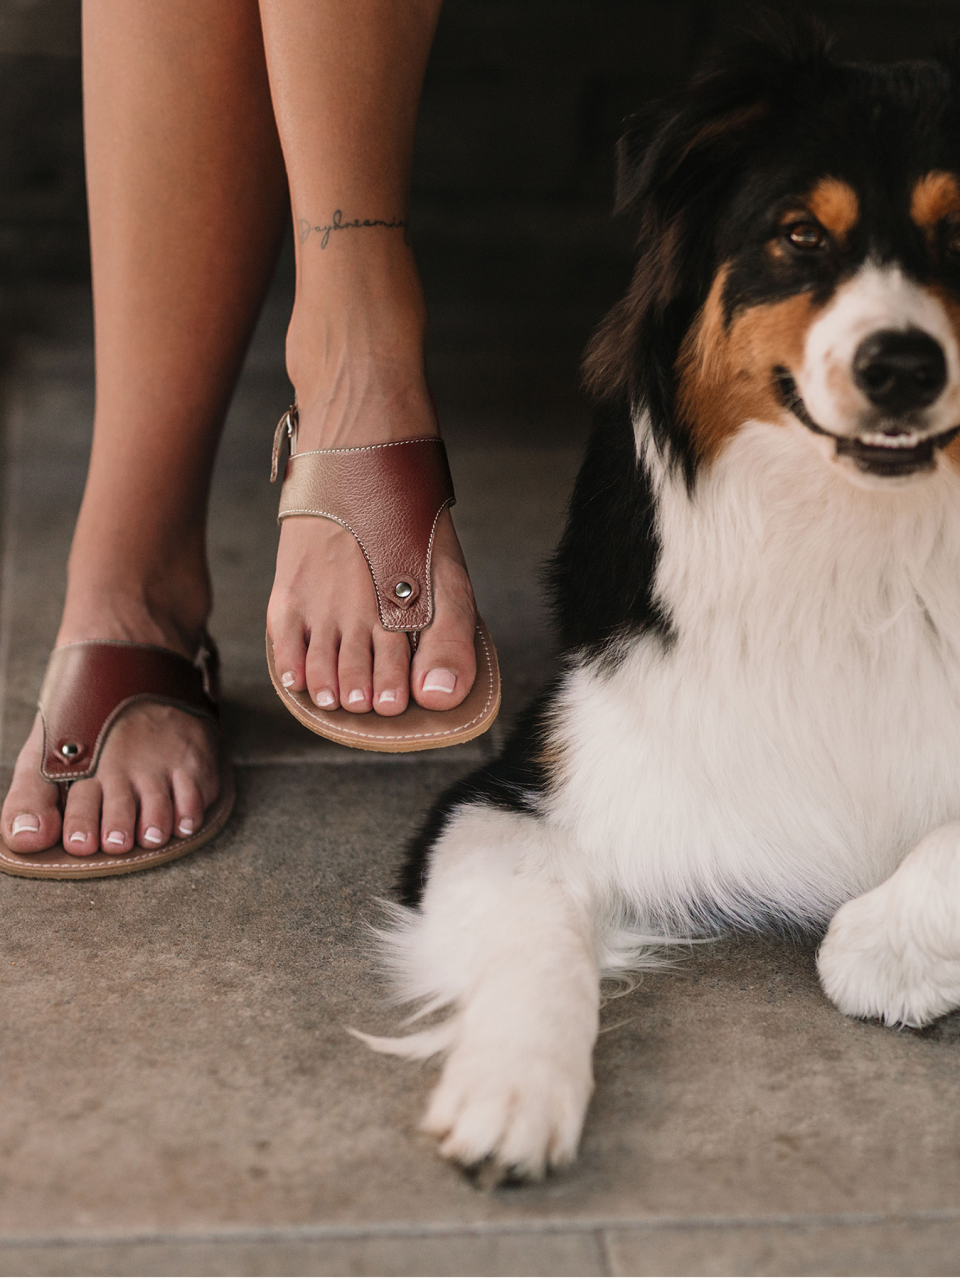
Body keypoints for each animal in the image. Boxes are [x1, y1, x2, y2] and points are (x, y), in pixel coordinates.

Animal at [360, 24, 960, 1177]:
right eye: (800, 235)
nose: (905, 368)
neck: (861, 547)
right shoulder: (518, 792)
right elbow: (540, 929)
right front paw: (513, 1090)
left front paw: (880, 948)